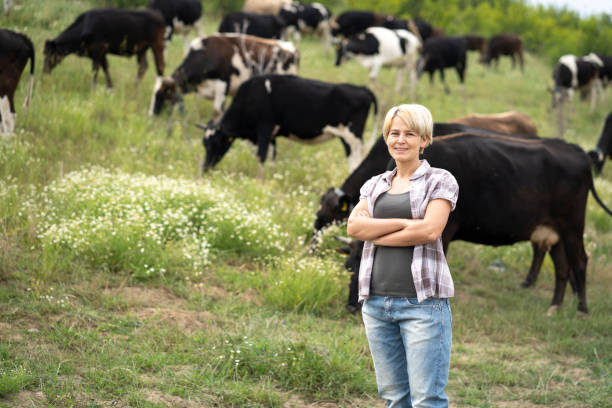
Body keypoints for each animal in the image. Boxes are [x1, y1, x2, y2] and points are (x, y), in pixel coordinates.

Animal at [201, 73, 376, 178]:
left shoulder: (264, 128)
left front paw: (259, 182)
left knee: (355, 162)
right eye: (204, 144)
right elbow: (271, 157)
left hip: (351, 138)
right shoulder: (272, 135)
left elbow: (261, 156)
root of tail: (362, 88)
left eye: (215, 142)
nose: (205, 168)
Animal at [340, 132, 612, 314]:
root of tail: (575, 150)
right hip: (552, 231)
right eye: (348, 266)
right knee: (562, 266)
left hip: (572, 226)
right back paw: (554, 307)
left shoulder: (443, 232)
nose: (352, 307)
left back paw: (582, 309)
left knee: (580, 261)